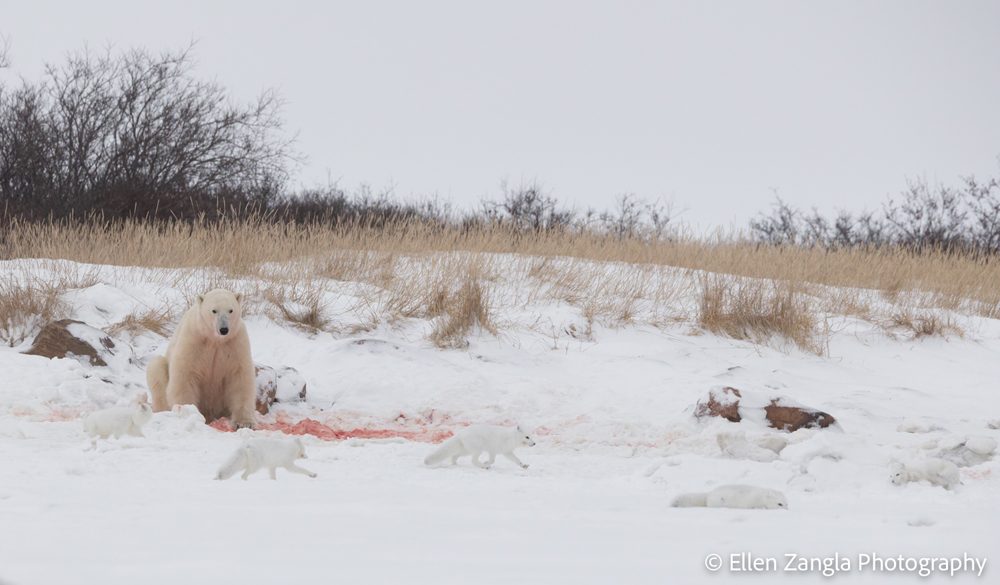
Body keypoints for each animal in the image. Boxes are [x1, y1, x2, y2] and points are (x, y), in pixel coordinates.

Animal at [148, 290, 260, 426]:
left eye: (231, 310)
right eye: (214, 310)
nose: (224, 329)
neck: (215, 340)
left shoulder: (235, 342)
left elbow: (239, 377)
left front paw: (245, 422)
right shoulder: (193, 339)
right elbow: (185, 374)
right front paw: (187, 412)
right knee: (156, 366)